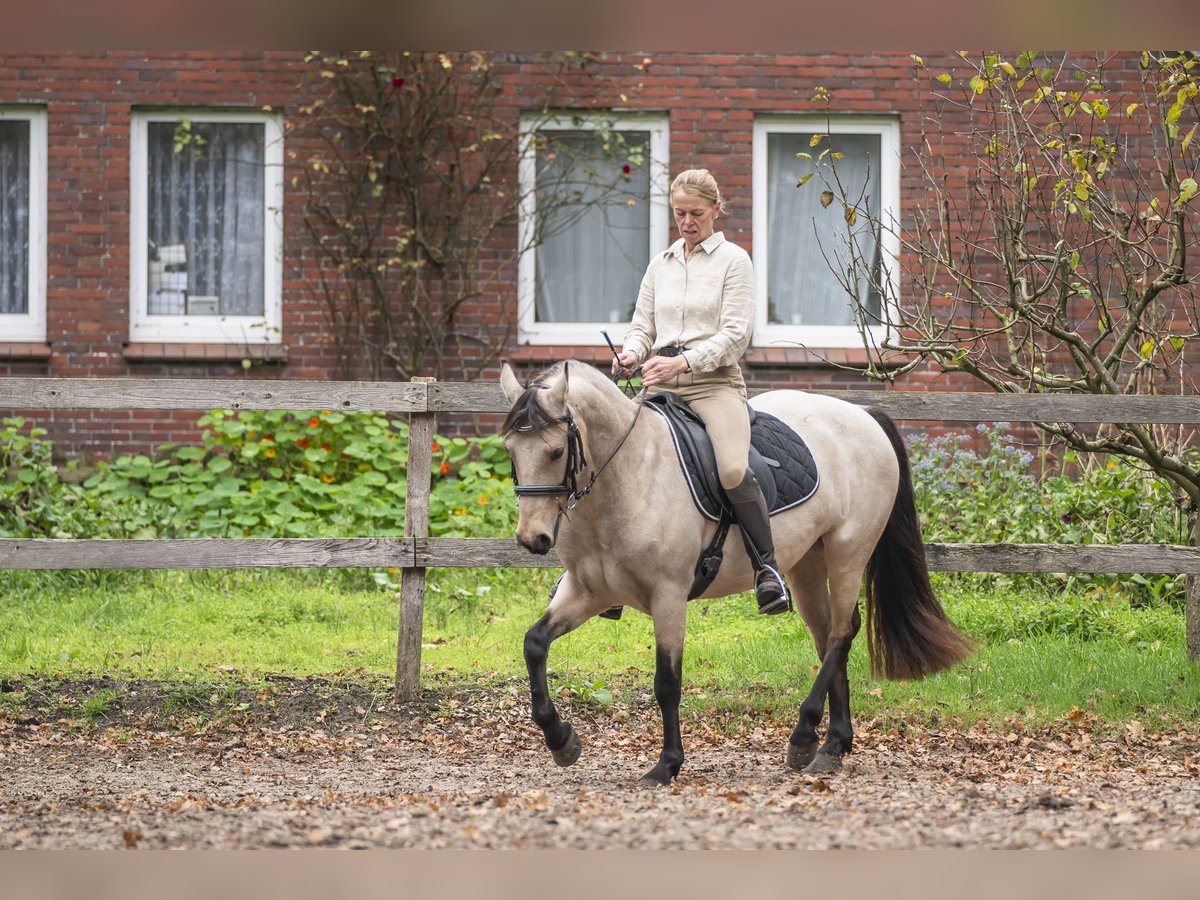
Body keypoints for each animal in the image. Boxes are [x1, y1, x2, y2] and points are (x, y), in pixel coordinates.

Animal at [496, 357, 974, 782]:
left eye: (557, 451)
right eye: (511, 452)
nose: (532, 538)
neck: (630, 476)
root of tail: (863, 414)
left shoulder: (669, 596)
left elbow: (667, 681)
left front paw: (667, 765)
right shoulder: (587, 591)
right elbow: (534, 644)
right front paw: (561, 741)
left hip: (848, 551)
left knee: (841, 634)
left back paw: (803, 738)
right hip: (806, 563)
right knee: (829, 637)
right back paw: (832, 746)